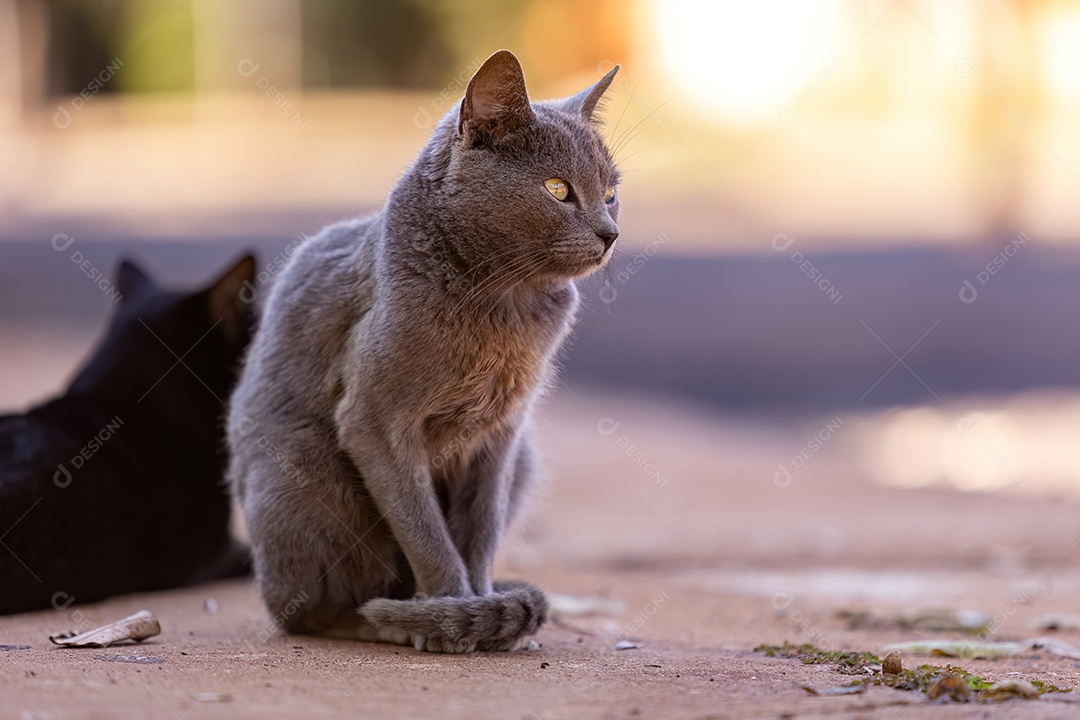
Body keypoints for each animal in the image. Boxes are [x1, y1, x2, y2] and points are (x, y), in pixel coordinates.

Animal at [227, 49, 617, 651]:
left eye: (612, 191)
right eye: (557, 189)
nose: (611, 232)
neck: (506, 306)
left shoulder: (502, 433)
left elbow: (479, 527)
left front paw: (480, 604)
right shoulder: (374, 422)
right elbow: (426, 530)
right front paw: (452, 612)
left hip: (527, 457)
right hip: (300, 463)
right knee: (310, 612)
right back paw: (388, 620)